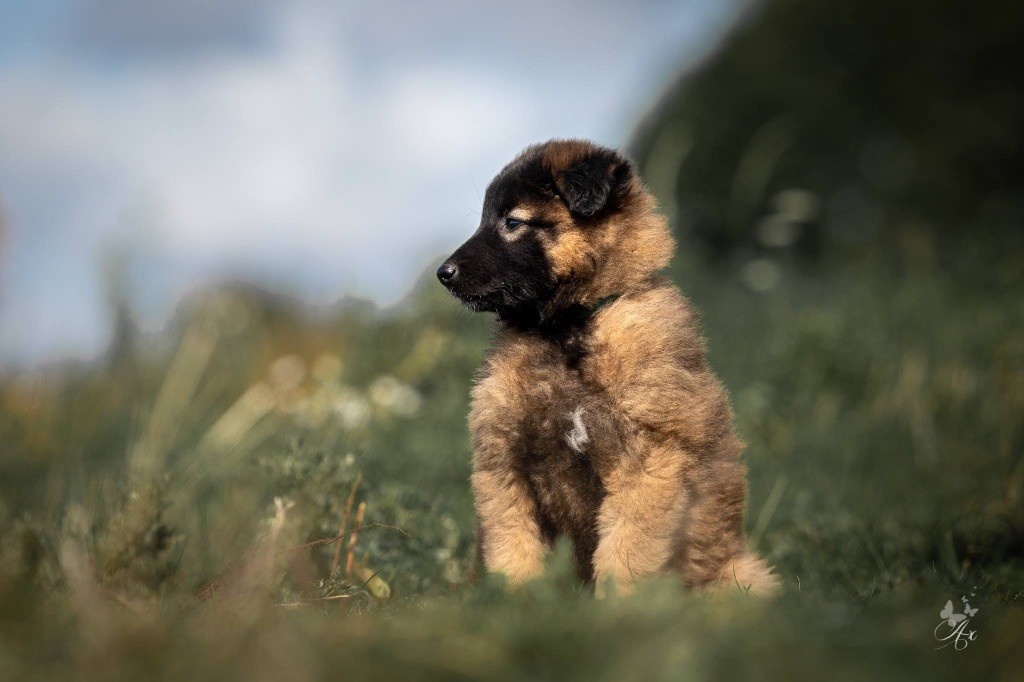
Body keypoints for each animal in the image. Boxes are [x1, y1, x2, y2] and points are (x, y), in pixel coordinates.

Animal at [436, 138, 778, 593]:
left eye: (512, 221)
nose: (443, 273)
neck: (566, 333)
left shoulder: (645, 463)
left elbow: (625, 551)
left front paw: (617, 607)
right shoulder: (503, 463)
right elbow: (513, 546)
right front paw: (517, 600)